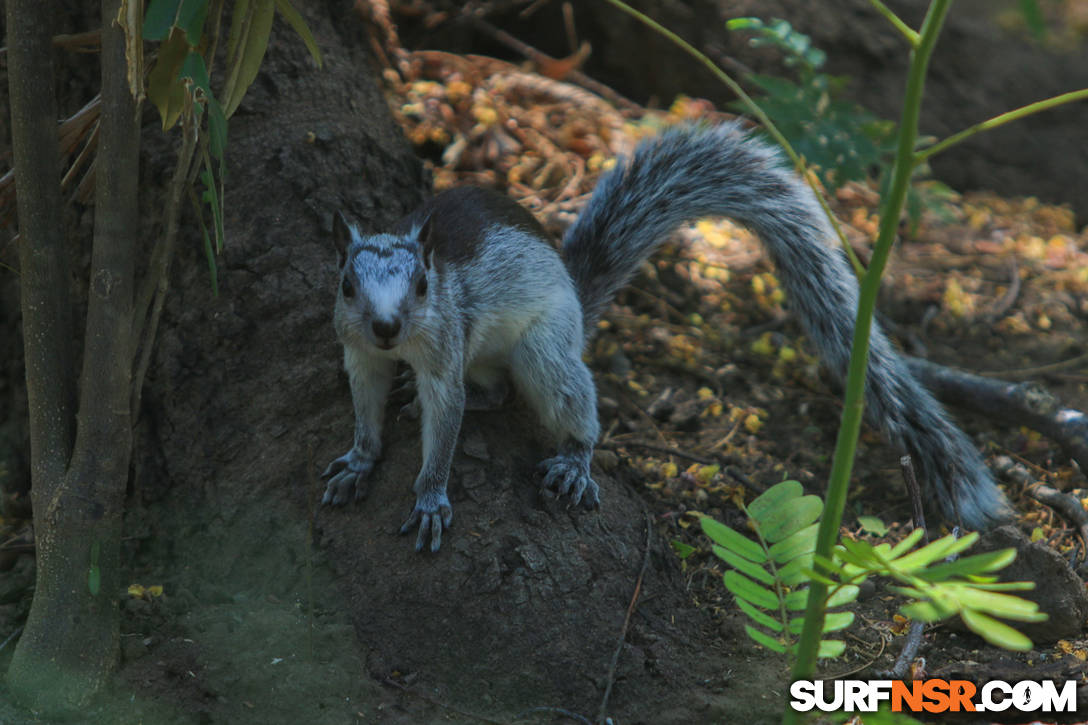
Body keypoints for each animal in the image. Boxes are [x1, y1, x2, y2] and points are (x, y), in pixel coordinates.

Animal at [317, 121, 1014, 550]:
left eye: (423, 287)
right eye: (346, 285)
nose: (386, 327)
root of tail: (576, 297)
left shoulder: (443, 350)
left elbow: (446, 422)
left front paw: (431, 496)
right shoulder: (359, 356)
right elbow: (365, 408)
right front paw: (359, 460)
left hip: (543, 347)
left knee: (556, 396)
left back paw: (574, 460)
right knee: (495, 391)